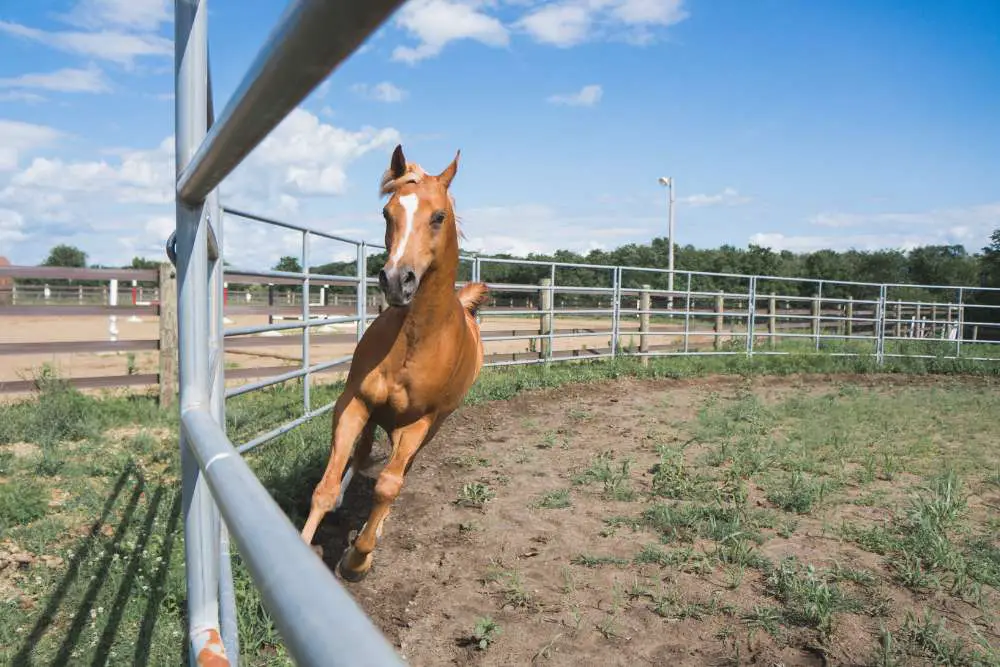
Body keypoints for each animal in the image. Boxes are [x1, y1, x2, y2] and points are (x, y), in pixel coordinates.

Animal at [300, 144, 488, 580]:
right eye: (388, 213)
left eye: (438, 216)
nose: (396, 280)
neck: (413, 344)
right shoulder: (355, 403)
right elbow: (326, 486)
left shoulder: (418, 422)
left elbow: (388, 486)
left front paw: (357, 558)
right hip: (375, 418)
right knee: (362, 456)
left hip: (431, 427)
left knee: (398, 474)